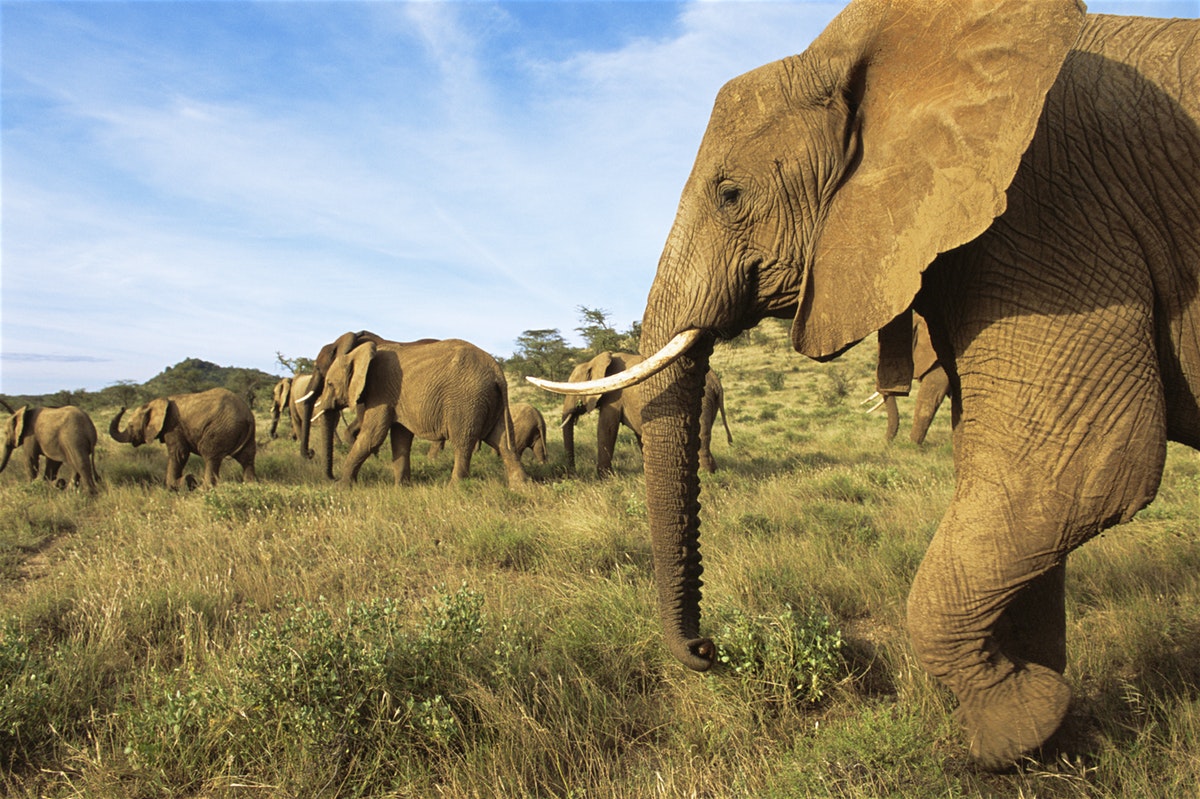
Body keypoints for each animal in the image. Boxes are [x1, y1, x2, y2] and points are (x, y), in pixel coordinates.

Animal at [109, 383, 256, 489]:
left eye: (131, 425)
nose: (122, 407)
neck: (156, 402)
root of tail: (247, 415)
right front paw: (185, 481)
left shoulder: (173, 426)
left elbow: (179, 454)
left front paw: (181, 483)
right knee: (247, 458)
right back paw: (250, 486)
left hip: (219, 430)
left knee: (210, 457)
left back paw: (203, 489)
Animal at [309, 331, 530, 484]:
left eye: (329, 384)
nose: (331, 478)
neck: (359, 353)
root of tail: (497, 372)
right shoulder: (394, 397)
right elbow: (400, 438)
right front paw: (401, 487)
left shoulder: (380, 391)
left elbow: (372, 436)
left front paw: (341, 486)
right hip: (490, 400)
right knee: (502, 440)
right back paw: (521, 486)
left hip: (466, 400)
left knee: (462, 443)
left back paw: (454, 487)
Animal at [559, 347, 729, 472]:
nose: (572, 472)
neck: (593, 361)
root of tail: (717, 382)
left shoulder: (614, 395)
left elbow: (606, 428)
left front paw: (604, 479)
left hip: (700, 398)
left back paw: (706, 476)